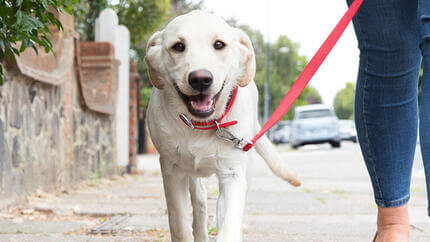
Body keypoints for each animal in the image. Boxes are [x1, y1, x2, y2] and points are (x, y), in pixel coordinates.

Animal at [144, 10, 298, 241]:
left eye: (219, 44)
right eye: (178, 46)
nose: (200, 79)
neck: (202, 125)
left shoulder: (233, 172)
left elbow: (229, 224)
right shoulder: (171, 169)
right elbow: (179, 224)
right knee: (199, 202)